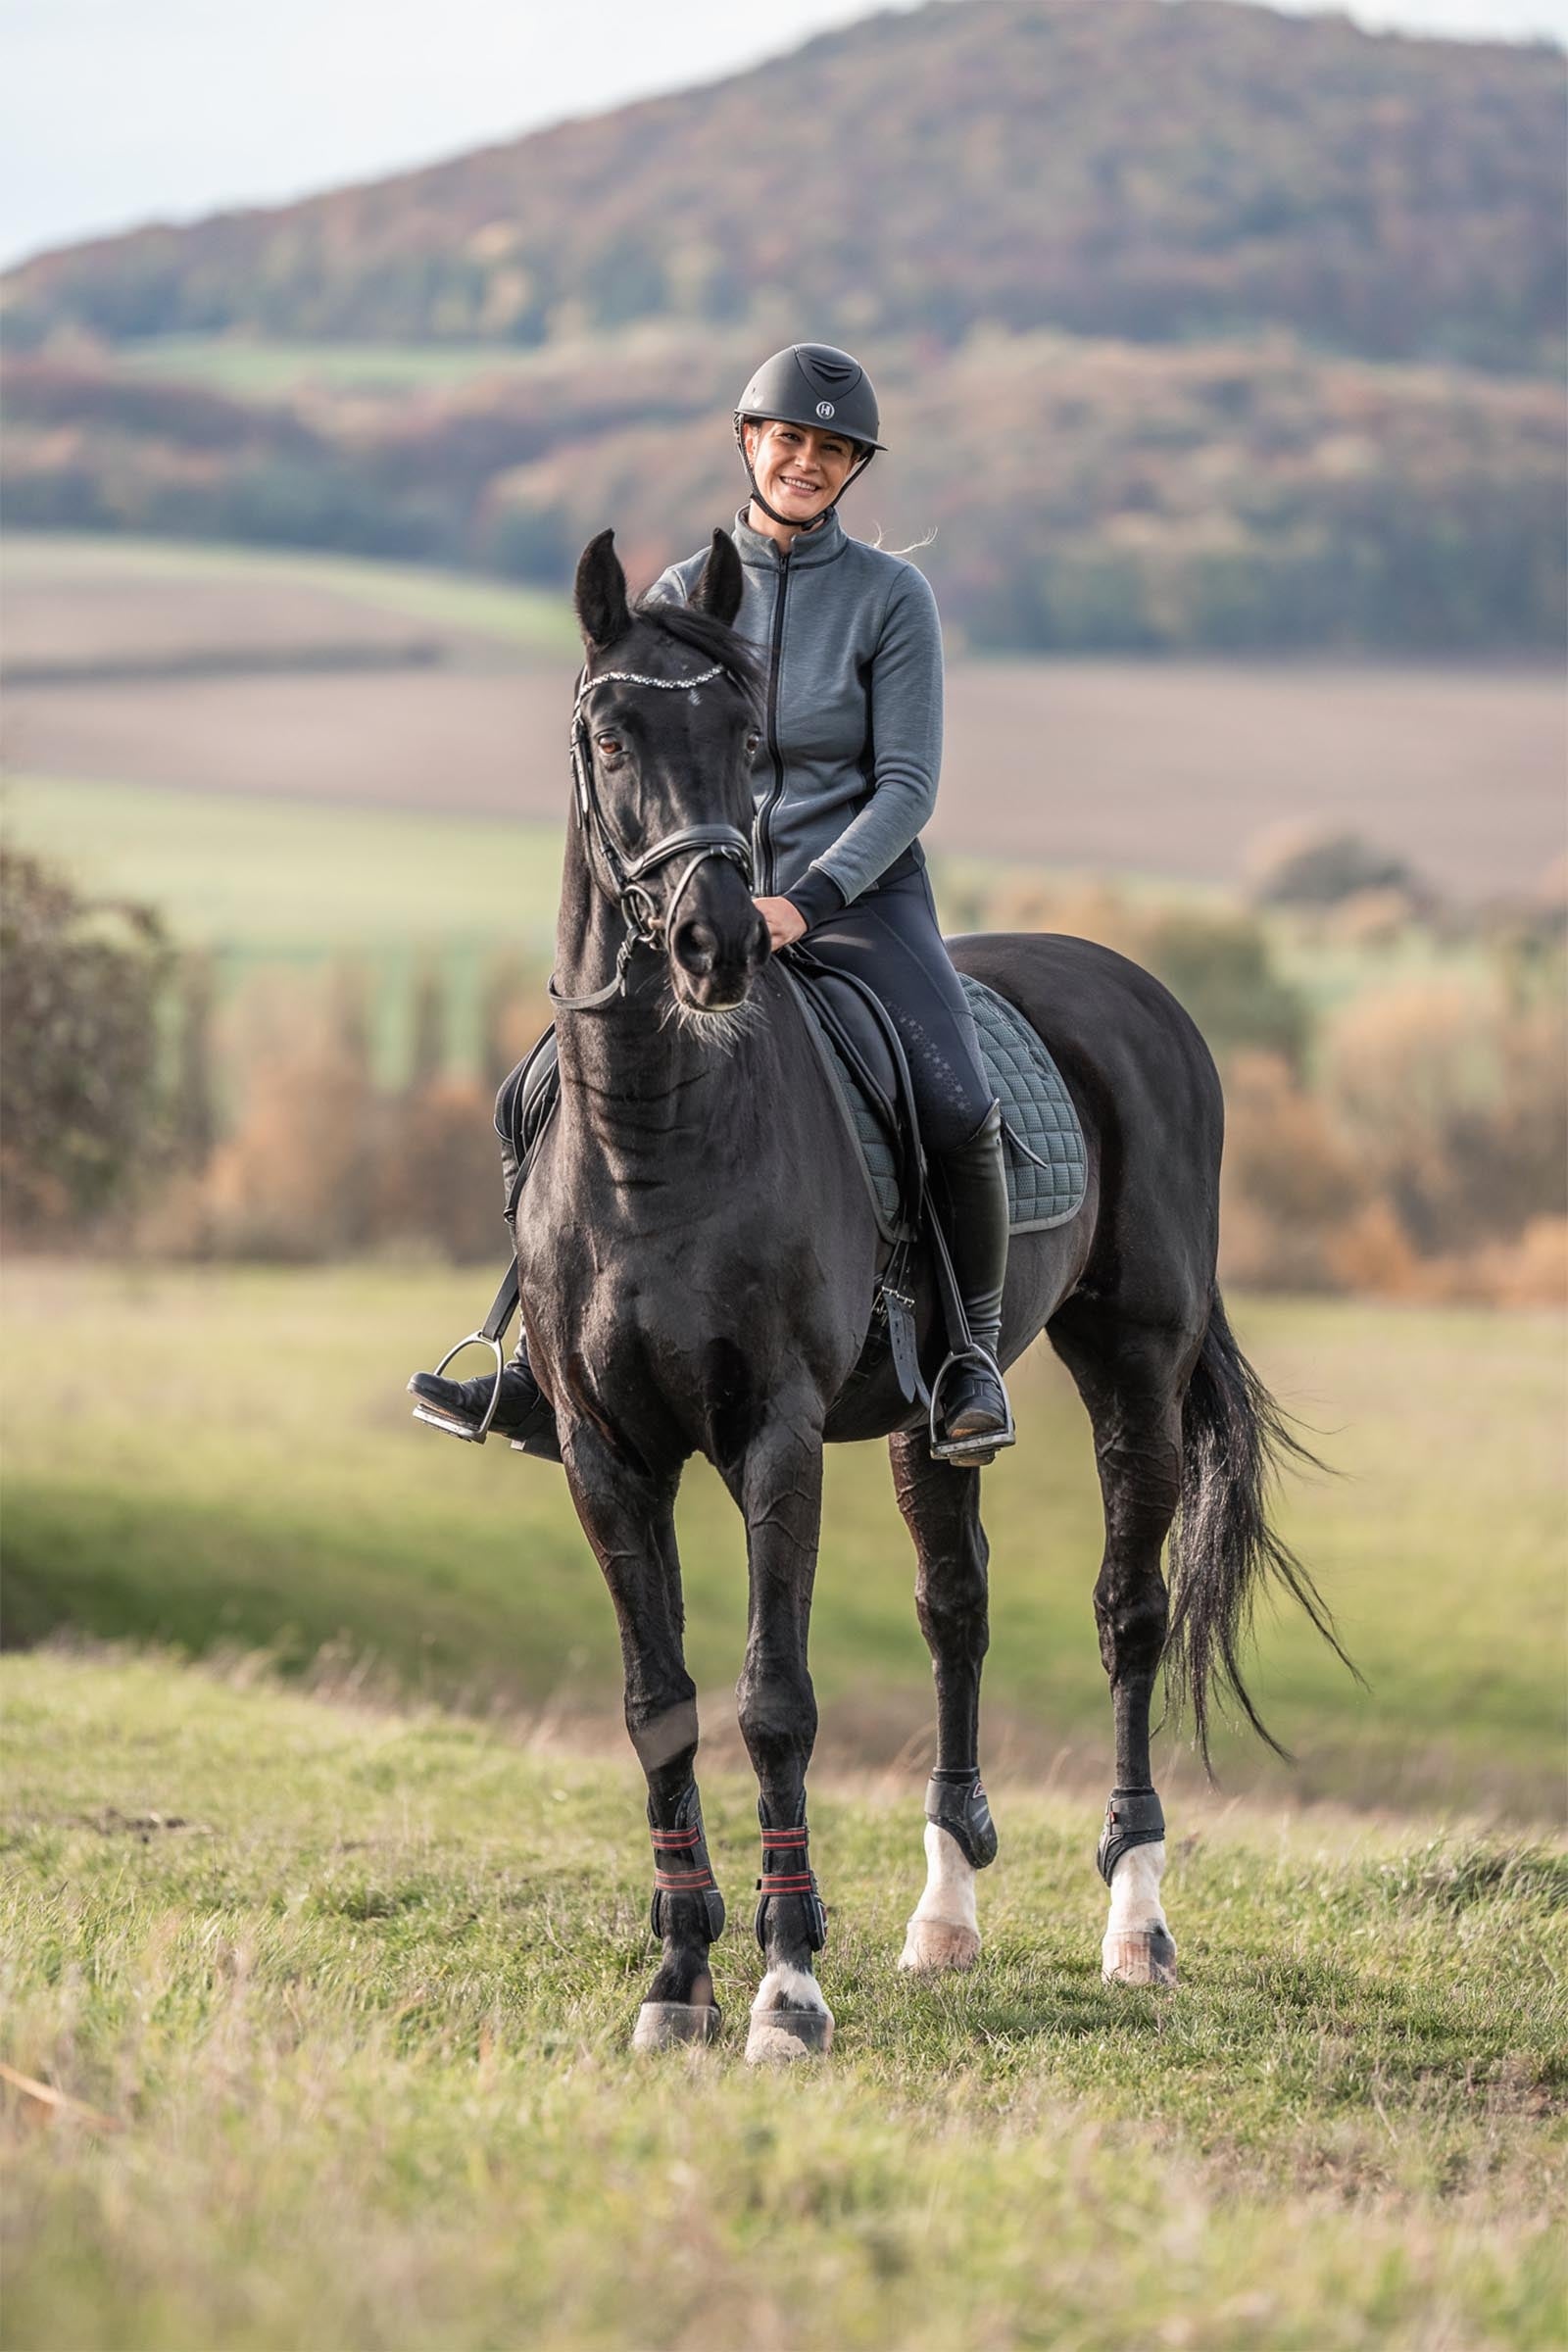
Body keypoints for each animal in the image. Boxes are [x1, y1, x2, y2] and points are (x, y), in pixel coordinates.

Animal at [514, 523, 1342, 2062]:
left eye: (745, 734)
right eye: (608, 732)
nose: (718, 943)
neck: (663, 1136)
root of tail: (1130, 985)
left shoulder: (773, 1438)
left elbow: (774, 1704)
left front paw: (785, 1986)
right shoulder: (607, 1453)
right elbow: (661, 1708)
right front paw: (678, 1980)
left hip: (1135, 1364)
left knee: (1128, 1613)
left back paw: (1135, 1922)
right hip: (927, 1411)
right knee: (956, 1608)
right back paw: (943, 1912)